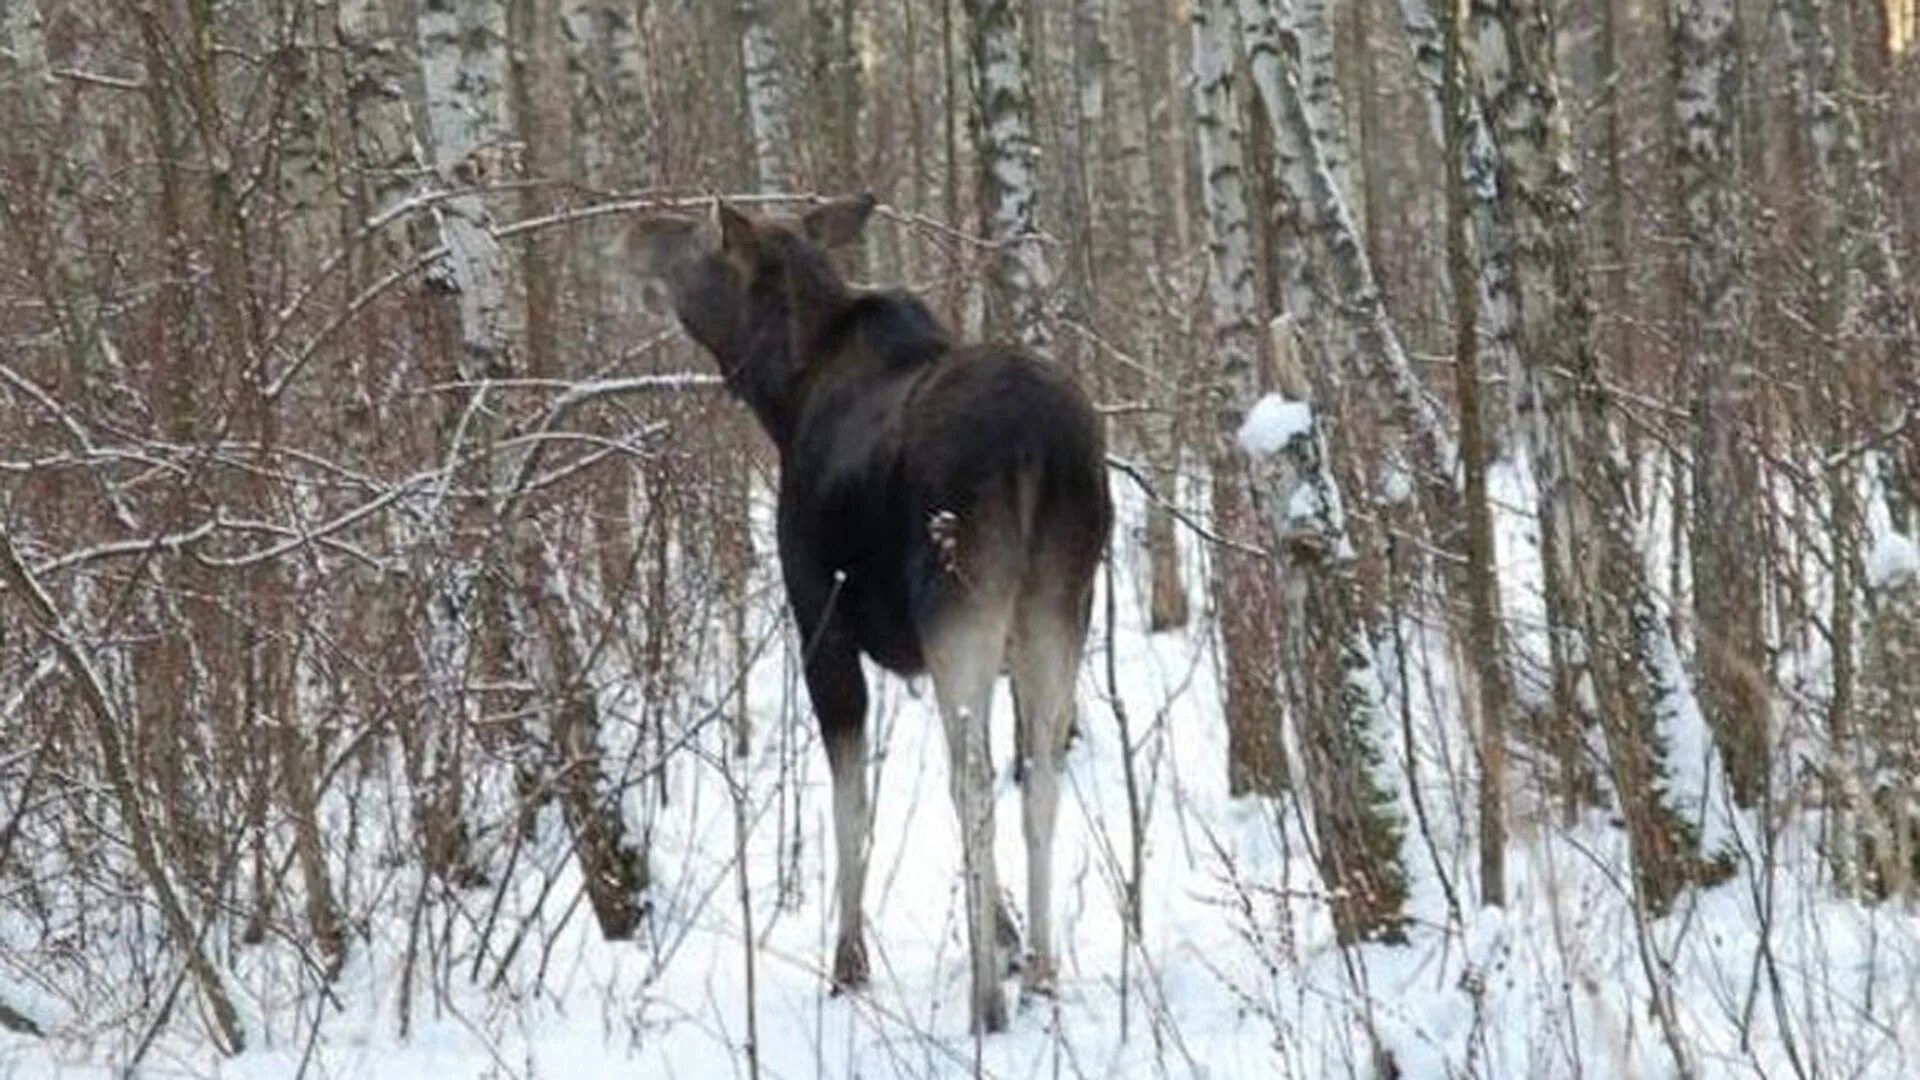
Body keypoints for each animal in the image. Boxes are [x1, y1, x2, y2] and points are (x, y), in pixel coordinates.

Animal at [637, 193, 1113, 1022]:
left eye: (699, 239)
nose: (637, 230)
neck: (783, 395)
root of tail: (1040, 450)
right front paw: (1008, 937)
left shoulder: (822, 629)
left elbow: (851, 803)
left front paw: (849, 961)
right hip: (1060, 603)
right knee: (1041, 773)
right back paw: (1043, 973)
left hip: (962, 605)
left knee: (975, 780)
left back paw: (987, 1001)